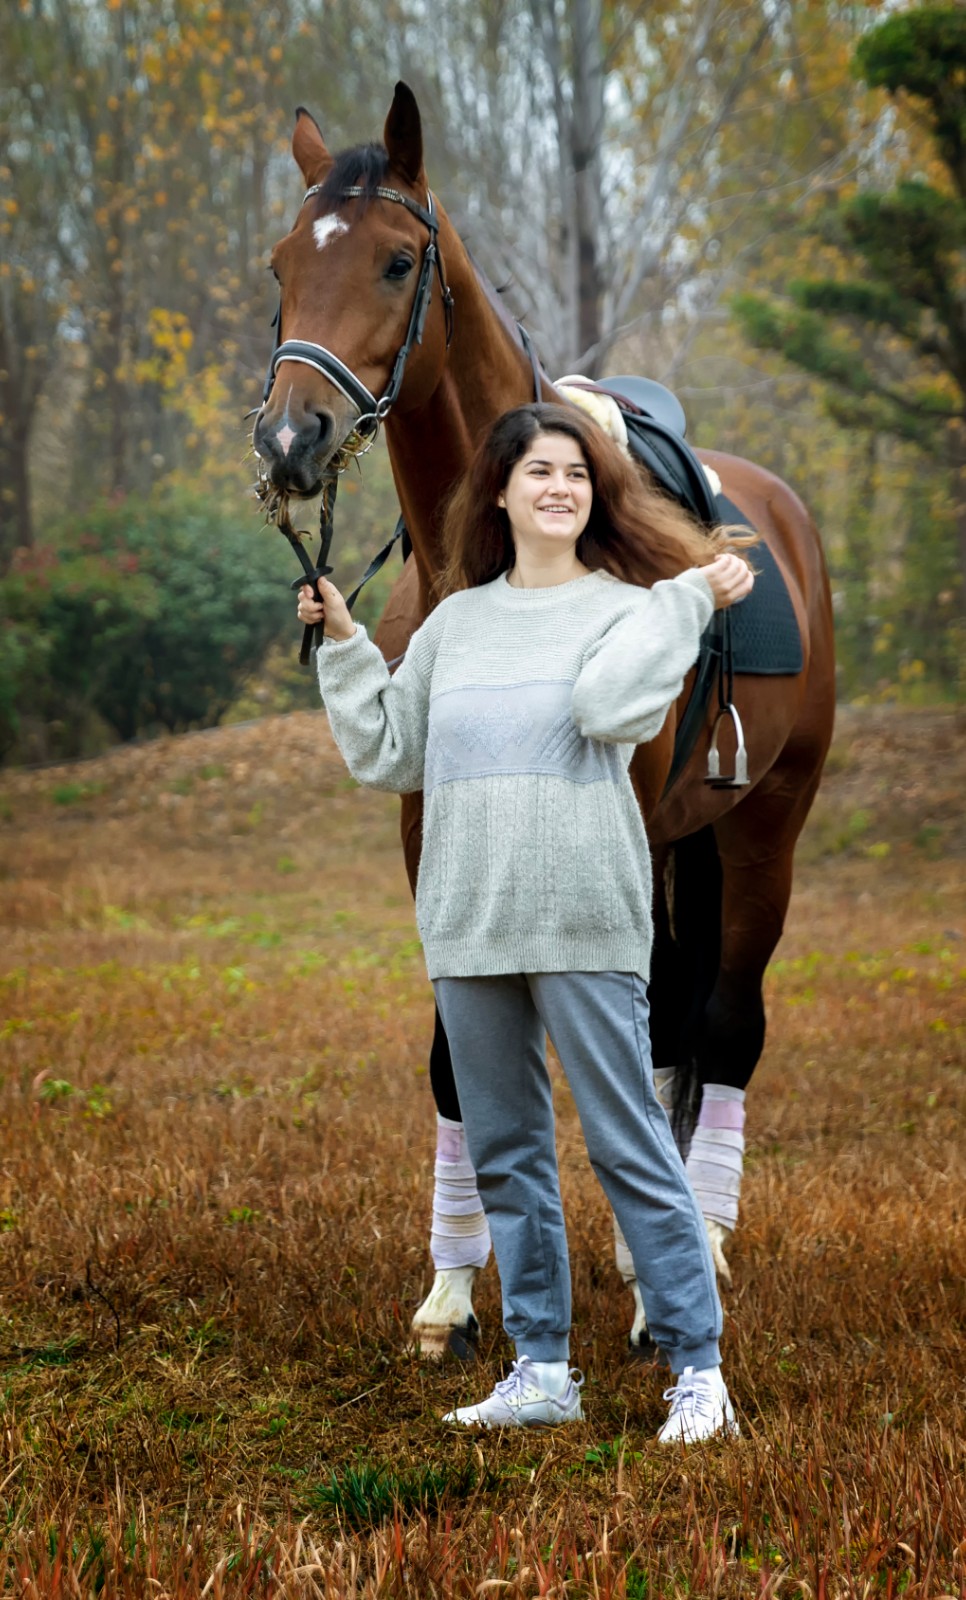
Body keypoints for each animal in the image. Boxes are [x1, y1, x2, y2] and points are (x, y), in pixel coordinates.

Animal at [252, 87, 831, 1356]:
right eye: (281, 265)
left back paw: (703, 1245)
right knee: (669, 1029)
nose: (289, 441)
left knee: (725, 1024)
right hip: (677, 841)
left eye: (398, 259)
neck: (493, 558)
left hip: (763, 829)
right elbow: (457, 1060)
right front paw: (452, 1292)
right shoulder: (432, 826)